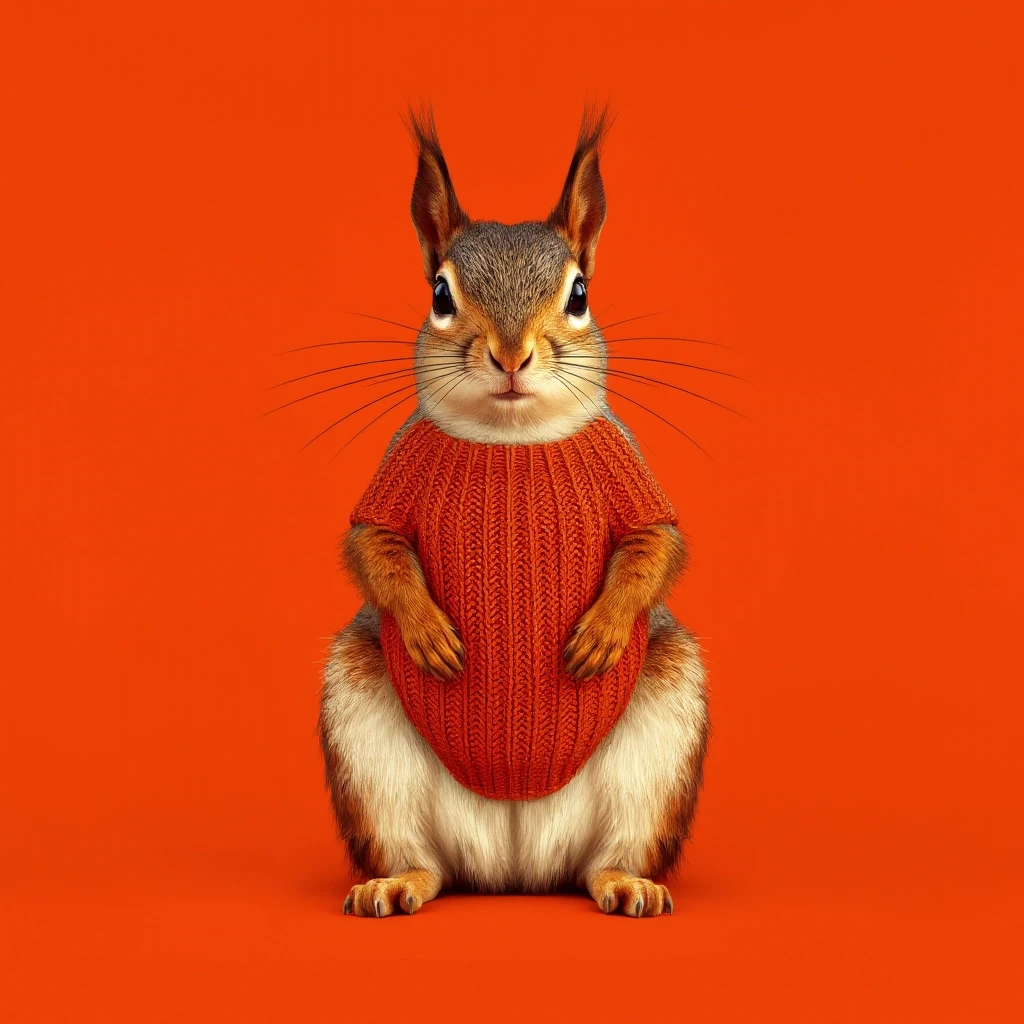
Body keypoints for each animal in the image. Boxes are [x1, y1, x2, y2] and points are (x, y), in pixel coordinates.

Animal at [319, 108, 709, 918]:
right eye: (439, 295)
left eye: (580, 294)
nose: (510, 356)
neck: (512, 440)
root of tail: (516, 863)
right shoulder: (394, 477)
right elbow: (374, 550)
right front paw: (428, 631)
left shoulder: (630, 477)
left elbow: (654, 548)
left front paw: (600, 632)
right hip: (364, 741)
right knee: (423, 861)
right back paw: (395, 883)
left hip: (663, 741)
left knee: (608, 856)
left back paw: (626, 882)